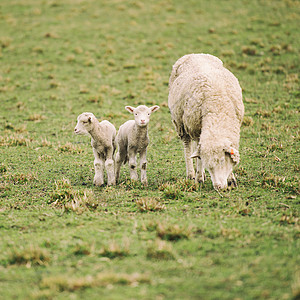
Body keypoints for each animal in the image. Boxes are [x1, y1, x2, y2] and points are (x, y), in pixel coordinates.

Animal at [168, 53, 245, 190]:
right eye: (210, 166)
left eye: (222, 160)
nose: (218, 187)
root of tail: (194, 54)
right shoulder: (196, 129)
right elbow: (199, 158)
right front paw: (199, 178)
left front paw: (231, 179)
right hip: (181, 122)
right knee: (188, 146)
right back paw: (192, 174)